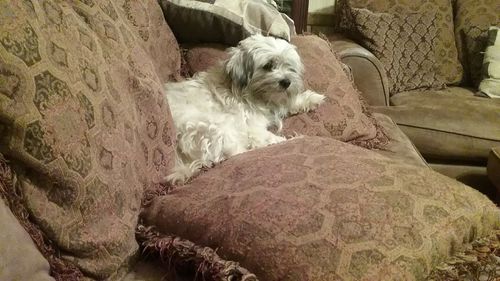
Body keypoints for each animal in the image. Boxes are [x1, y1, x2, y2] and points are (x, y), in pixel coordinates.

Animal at [166, 34, 326, 184]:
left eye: (289, 66)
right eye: (268, 65)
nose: (286, 82)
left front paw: (312, 99)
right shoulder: (254, 130)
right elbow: (267, 138)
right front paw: (294, 139)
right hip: (212, 128)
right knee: (237, 152)